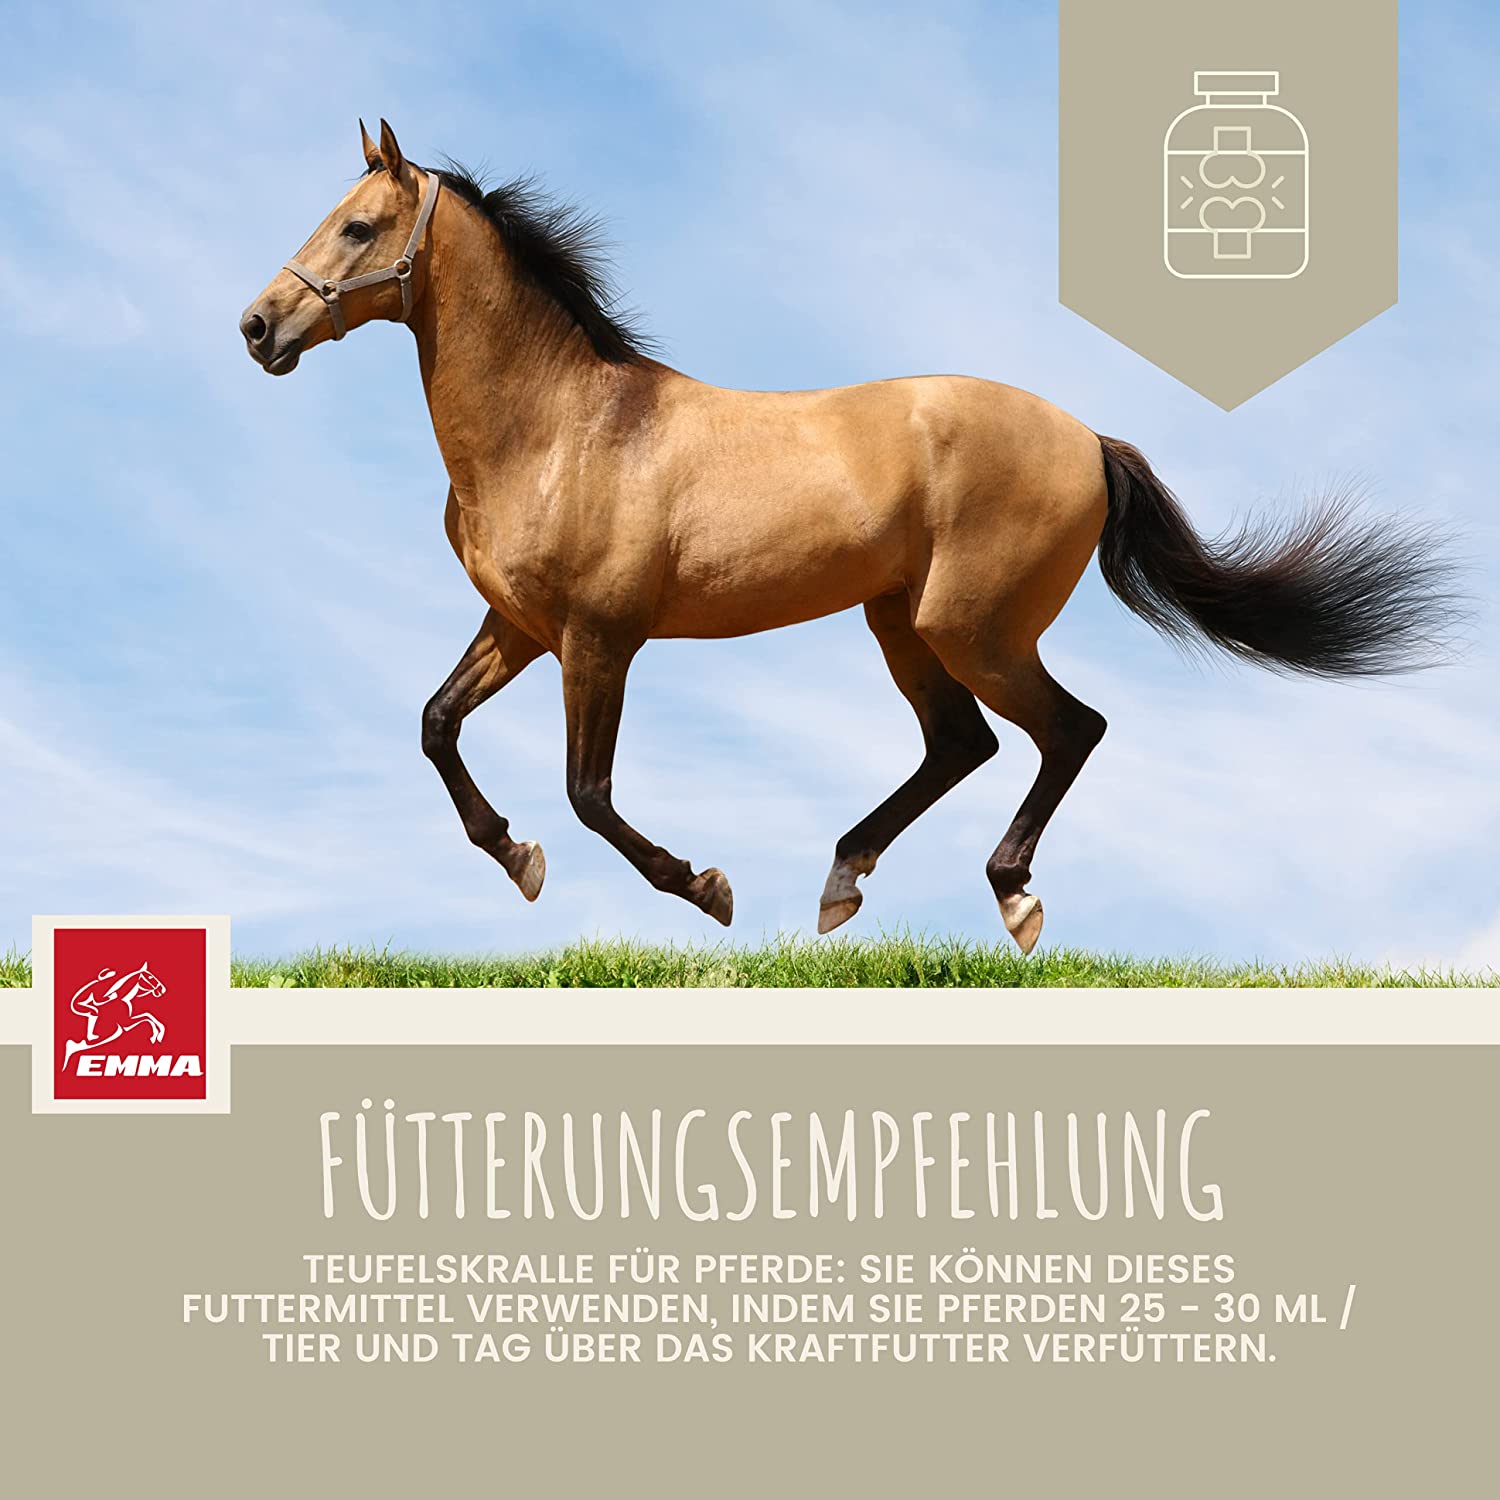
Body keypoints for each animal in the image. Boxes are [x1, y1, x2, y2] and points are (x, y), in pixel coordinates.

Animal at [239, 120, 1457, 952]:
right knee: (962, 744)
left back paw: (1011, 897)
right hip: (900, 621)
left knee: (1068, 729)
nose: (258, 327)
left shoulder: (599, 638)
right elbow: (438, 725)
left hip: (972, 626)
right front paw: (517, 859)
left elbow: (590, 795)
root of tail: (1087, 437)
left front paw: (707, 889)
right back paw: (844, 883)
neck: (562, 427)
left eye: (358, 226)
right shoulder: (520, 625)